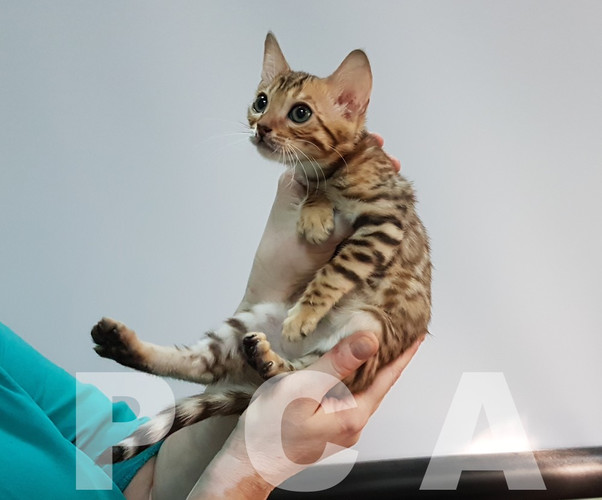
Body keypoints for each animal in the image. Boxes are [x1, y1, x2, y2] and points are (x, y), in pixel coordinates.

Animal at [92, 32, 431, 463]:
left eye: (300, 112)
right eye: (261, 101)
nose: (262, 128)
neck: (337, 167)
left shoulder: (385, 220)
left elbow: (337, 269)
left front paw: (305, 313)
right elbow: (313, 191)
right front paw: (315, 213)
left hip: (366, 331)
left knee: (297, 377)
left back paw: (275, 360)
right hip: (248, 321)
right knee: (201, 364)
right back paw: (123, 343)